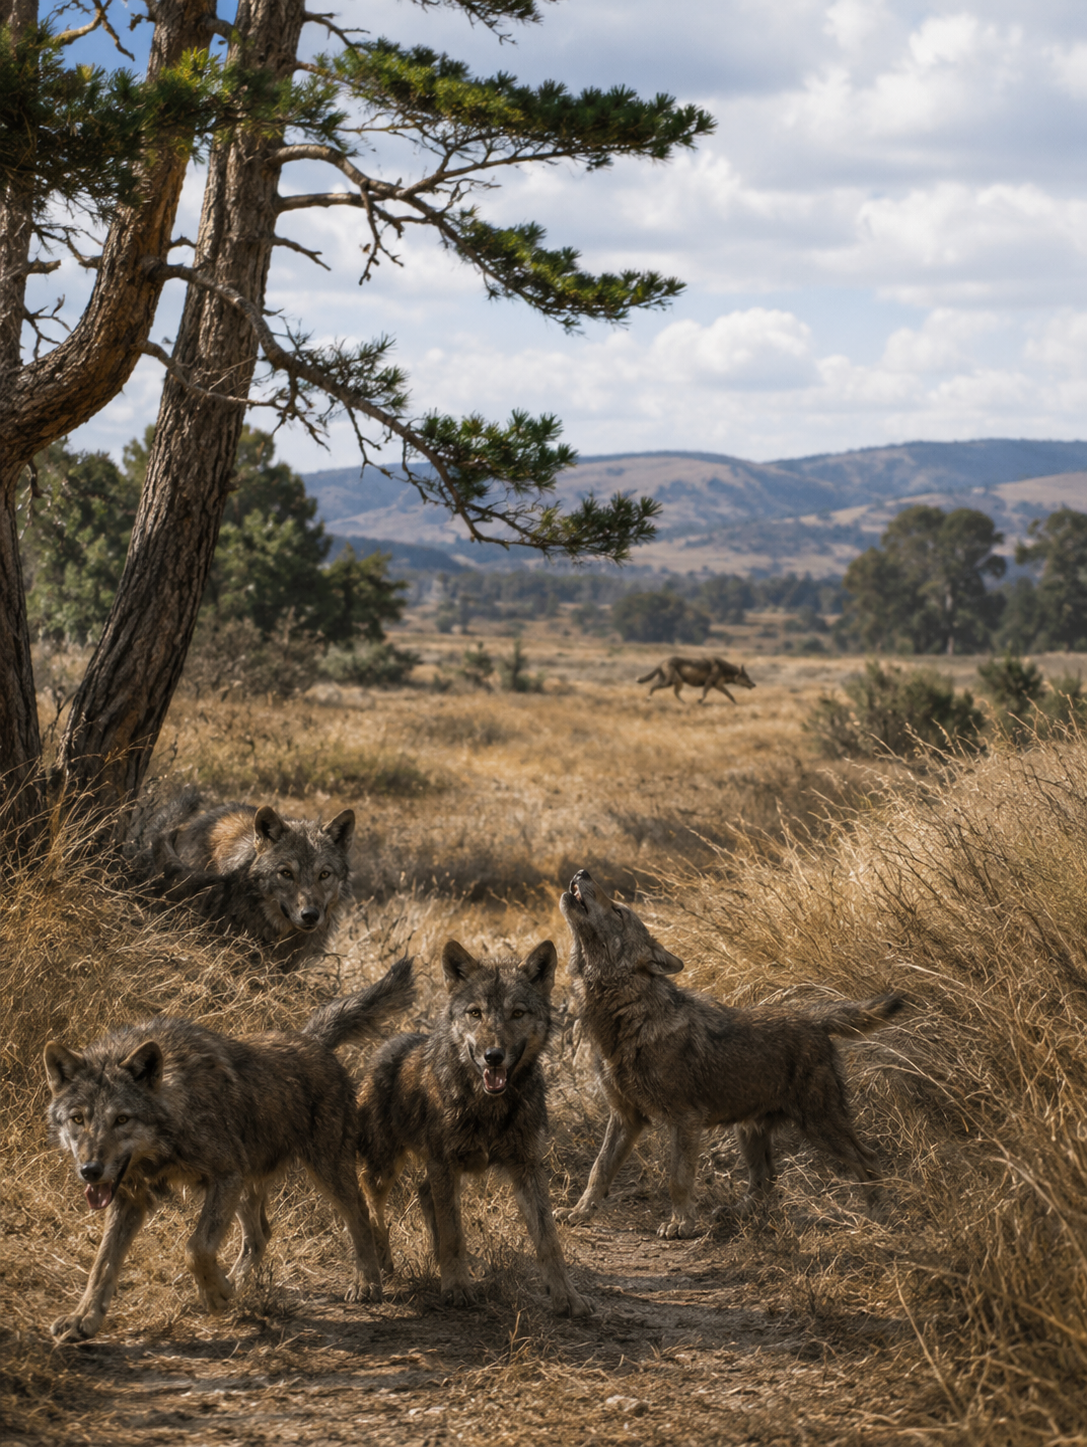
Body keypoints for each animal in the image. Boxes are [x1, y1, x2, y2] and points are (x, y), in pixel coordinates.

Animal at [43, 957, 414, 1342]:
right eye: (78, 1119)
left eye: (122, 1119)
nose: (90, 1171)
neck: (176, 1111)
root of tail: (312, 1039)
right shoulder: (132, 1196)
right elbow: (102, 1265)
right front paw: (82, 1319)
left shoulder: (224, 1175)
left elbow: (196, 1247)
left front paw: (215, 1295)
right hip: (249, 1184)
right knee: (261, 1236)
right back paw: (235, 1283)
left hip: (324, 1170)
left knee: (359, 1215)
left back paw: (367, 1284)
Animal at [356, 939, 590, 1317]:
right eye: (476, 1013)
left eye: (517, 1014)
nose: (493, 1055)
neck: (489, 1105)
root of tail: (385, 1048)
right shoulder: (443, 1163)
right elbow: (453, 1234)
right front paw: (456, 1288)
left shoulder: (527, 1166)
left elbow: (549, 1240)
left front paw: (566, 1296)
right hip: (385, 1169)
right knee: (371, 1206)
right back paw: (381, 1265)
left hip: (446, 1171)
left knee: (424, 1194)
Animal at [559, 870, 903, 1239]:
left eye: (619, 911)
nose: (582, 873)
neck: (627, 1016)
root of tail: (812, 1017)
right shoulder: (625, 1118)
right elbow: (599, 1170)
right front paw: (580, 1213)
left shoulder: (685, 1119)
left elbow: (678, 1179)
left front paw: (680, 1224)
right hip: (749, 1131)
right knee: (766, 1179)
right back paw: (734, 1214)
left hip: (819, 1125)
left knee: (868, 1159)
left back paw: (879, 1217)